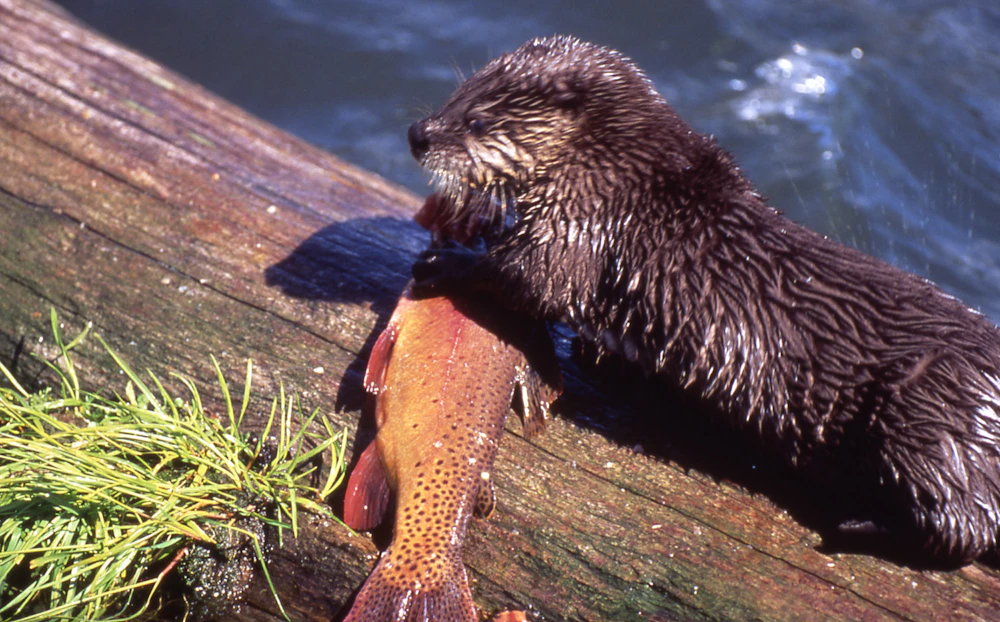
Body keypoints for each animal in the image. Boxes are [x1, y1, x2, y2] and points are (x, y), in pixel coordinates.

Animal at [407, 35, 1000, 564]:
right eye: (458, 93)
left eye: (477, 122)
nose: (418, 133)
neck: (618, 166)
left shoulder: (583, 218)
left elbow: (538, 280)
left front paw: (447, 260)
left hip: (930, 411)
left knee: (963, 525)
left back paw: (856, 523)